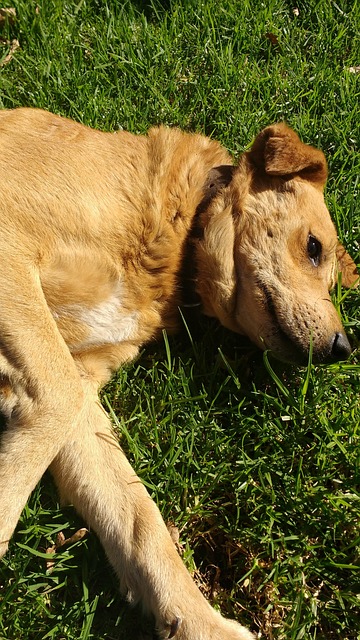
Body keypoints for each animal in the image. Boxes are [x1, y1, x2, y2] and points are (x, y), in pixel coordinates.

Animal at [0, 107, 358, 636]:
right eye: (313, 247)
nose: (343, 348)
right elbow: (55, 401)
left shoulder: (77, 392)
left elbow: (138, 519)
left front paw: (201, 623)